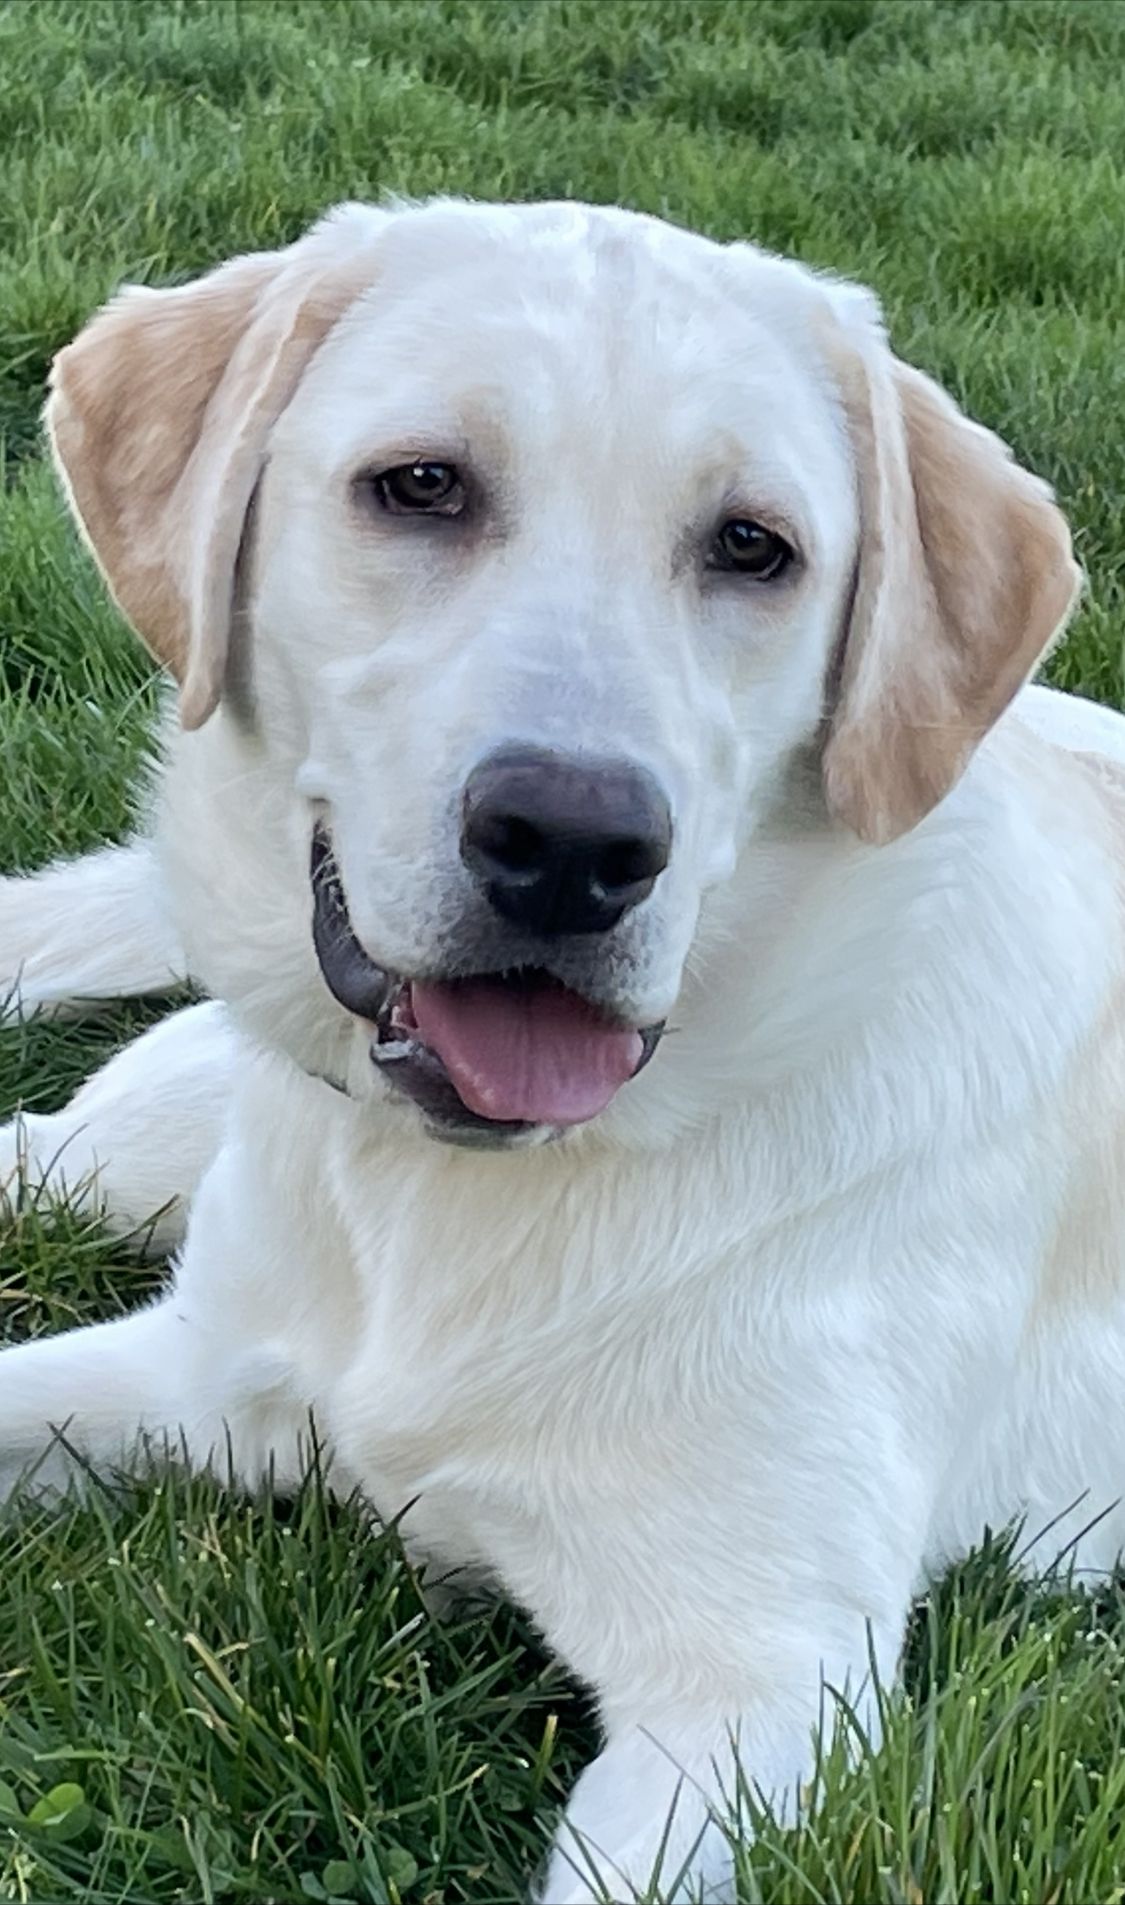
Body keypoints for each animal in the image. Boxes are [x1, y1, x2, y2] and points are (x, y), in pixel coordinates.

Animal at [2, 194, 1123, 1902]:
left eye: (752, 546)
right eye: (420, 486)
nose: (573, 844)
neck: (464, 1198)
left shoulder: (751, 1691)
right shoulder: (191, 1369)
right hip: (132, 1144)